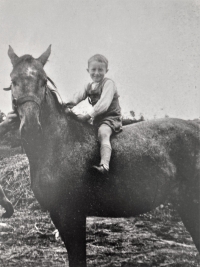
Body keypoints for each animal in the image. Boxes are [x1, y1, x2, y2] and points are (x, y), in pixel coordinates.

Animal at [6, 45, 200, 266]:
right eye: (13, 80)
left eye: (43, 80)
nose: (31, 128)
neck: (59, 144)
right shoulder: (58, 215)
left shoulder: (72, 215)